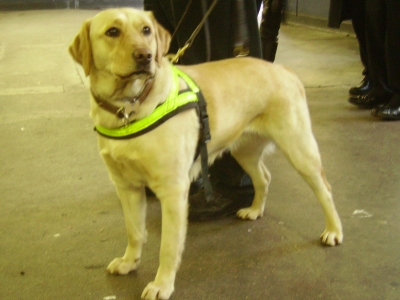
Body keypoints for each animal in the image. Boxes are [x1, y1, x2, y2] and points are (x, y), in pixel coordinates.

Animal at [69, 7, 344, 300]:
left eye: (146, 30)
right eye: (112, 31)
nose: (145, 56)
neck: (128, 108)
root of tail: (282, 68)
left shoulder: (173, 191)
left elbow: (168, 247)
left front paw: (162, 285)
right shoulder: (126, 187)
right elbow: (134, 232)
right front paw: (129, 262)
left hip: (299, 149)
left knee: (325, 188)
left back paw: (333, 231)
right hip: (244, 151)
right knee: (264, 177)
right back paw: (255, 209)